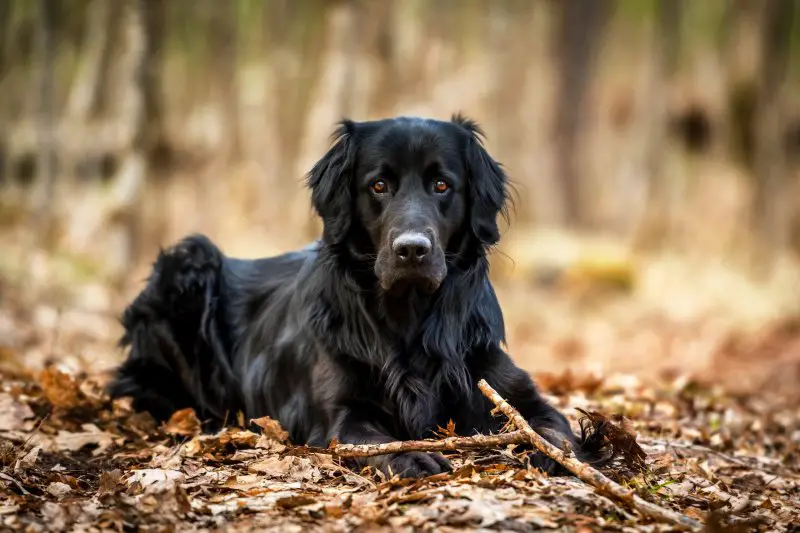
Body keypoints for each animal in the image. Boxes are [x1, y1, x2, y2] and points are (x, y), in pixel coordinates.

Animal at [106, 114, 608, 476]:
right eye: (378, 185)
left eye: (442, 185)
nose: (412, 250)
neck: (408, 316)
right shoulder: (340, 412)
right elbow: (374, 439)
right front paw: (413, 456)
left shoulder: (509, 388)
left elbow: (553, 426)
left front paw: (554, 453)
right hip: (189, 260)